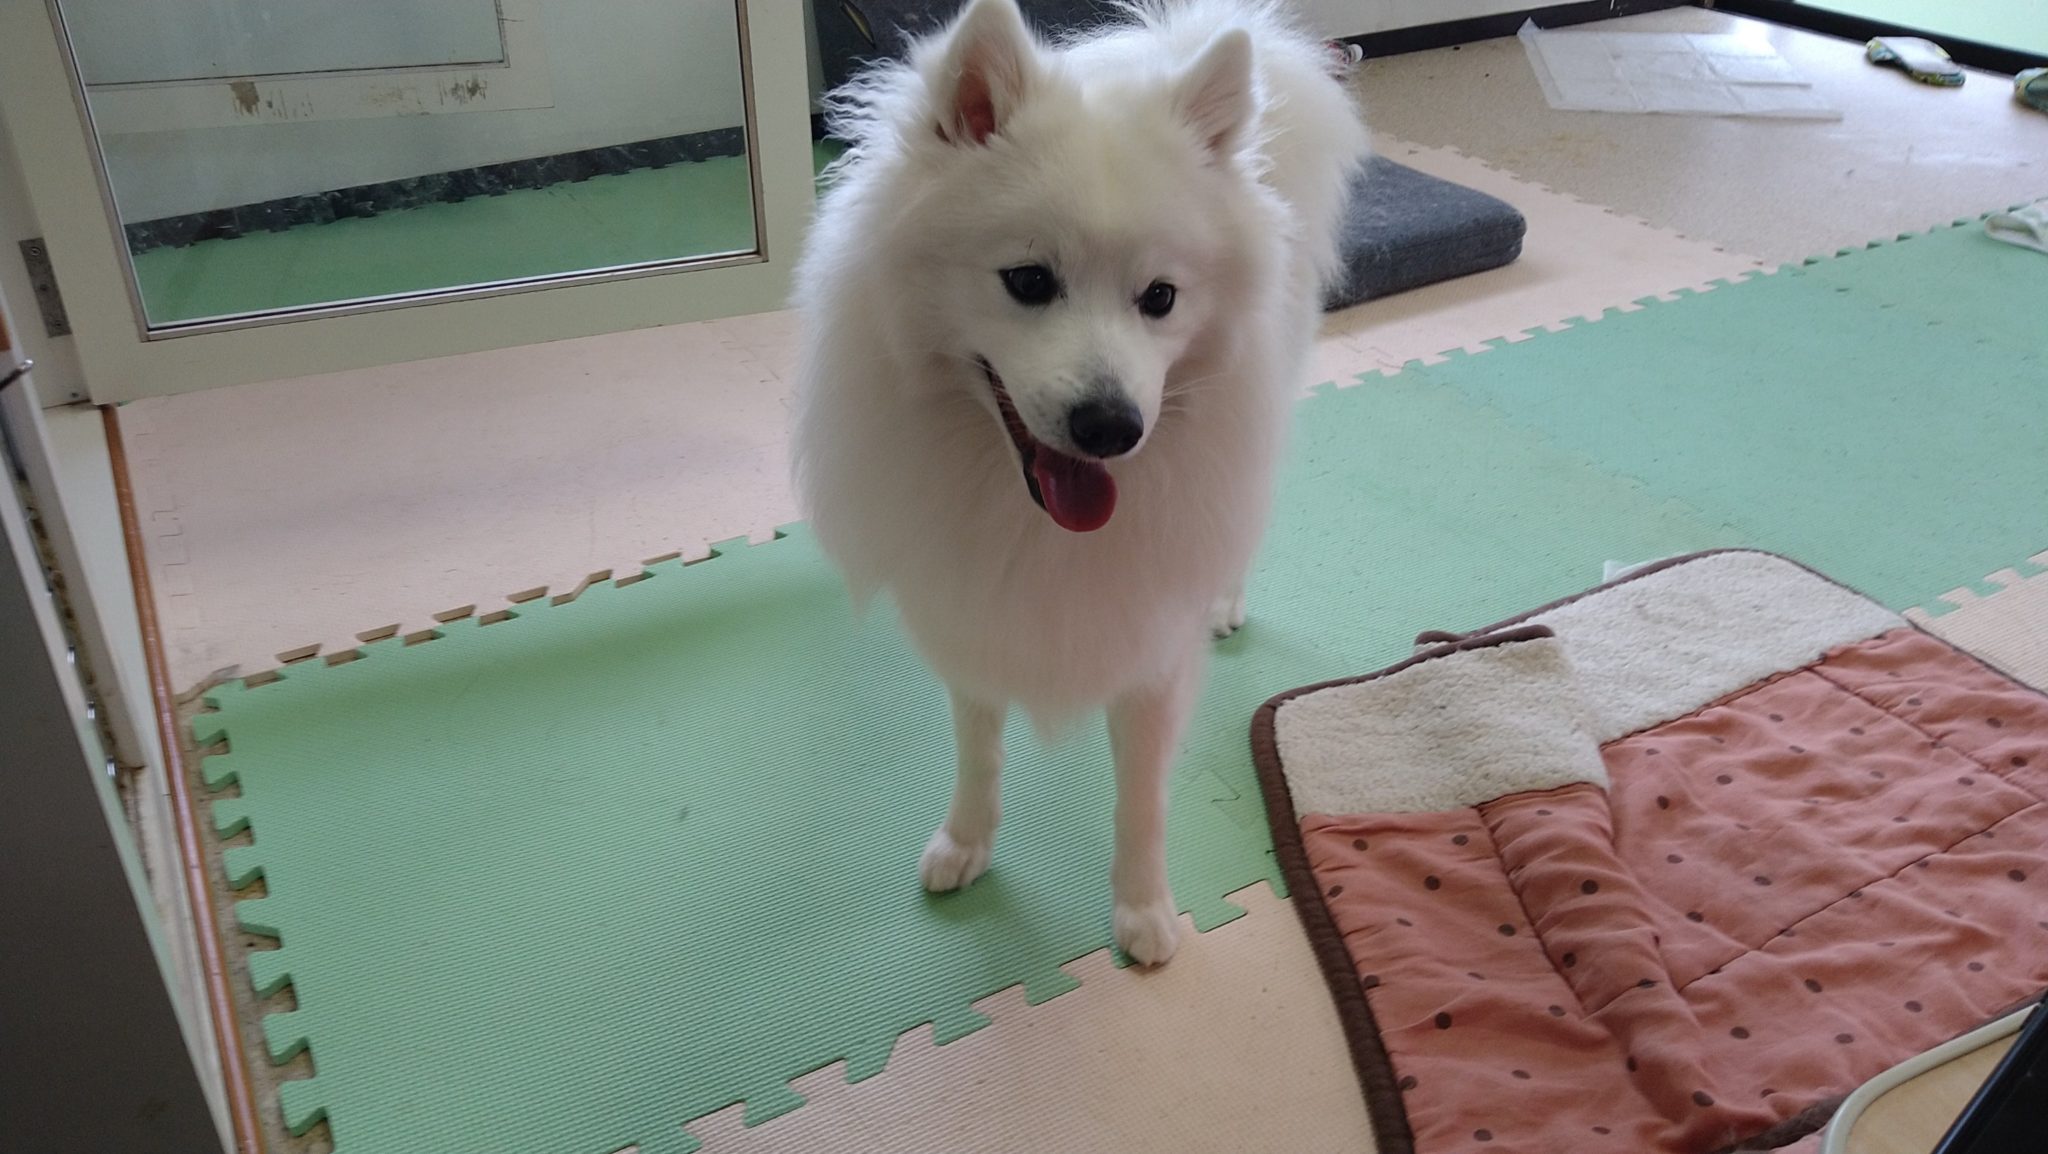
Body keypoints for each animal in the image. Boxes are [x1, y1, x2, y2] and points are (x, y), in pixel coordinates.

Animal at [791, 0, 1368, 964]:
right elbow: (977, 749)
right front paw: (965, 842)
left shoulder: (1152, 647)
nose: (1112, 428)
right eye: (1028, 280)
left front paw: (1144, 911)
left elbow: (1141, 796)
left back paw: (1226, 601)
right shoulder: (972, 616)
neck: (1034, 519)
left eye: (1161, 299)